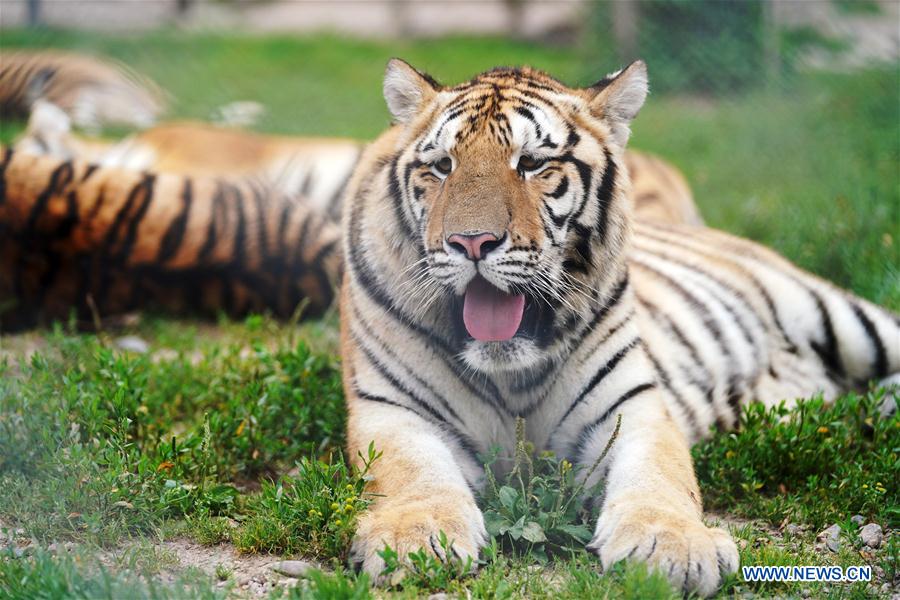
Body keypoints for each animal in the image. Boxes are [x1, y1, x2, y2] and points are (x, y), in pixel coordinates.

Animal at [338, 59, 900, 596]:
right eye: (441, 166)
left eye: (532, 164)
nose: (471, 242)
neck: (512, 373)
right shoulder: (394, 410)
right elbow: (412, 472)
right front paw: (411, 540)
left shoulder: (633, 407)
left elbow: (659, 476)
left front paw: (671, 547)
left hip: (842, 316)